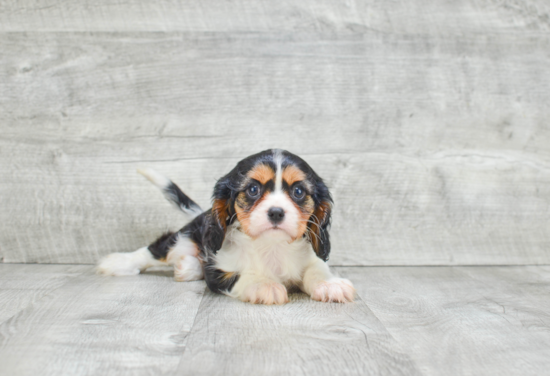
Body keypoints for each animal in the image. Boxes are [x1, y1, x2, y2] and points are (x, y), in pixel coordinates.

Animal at [98, 148, 358, 304]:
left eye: (298, 192)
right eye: (253, 189)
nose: (276, 212)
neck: (270, 246)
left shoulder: (311, 258)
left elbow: (317, 269)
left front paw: (330, 284)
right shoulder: (219, 269)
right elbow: (241, 275)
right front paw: (264, 285)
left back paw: (188, 268)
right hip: (182, 240)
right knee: (155, 250)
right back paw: (118, 262)